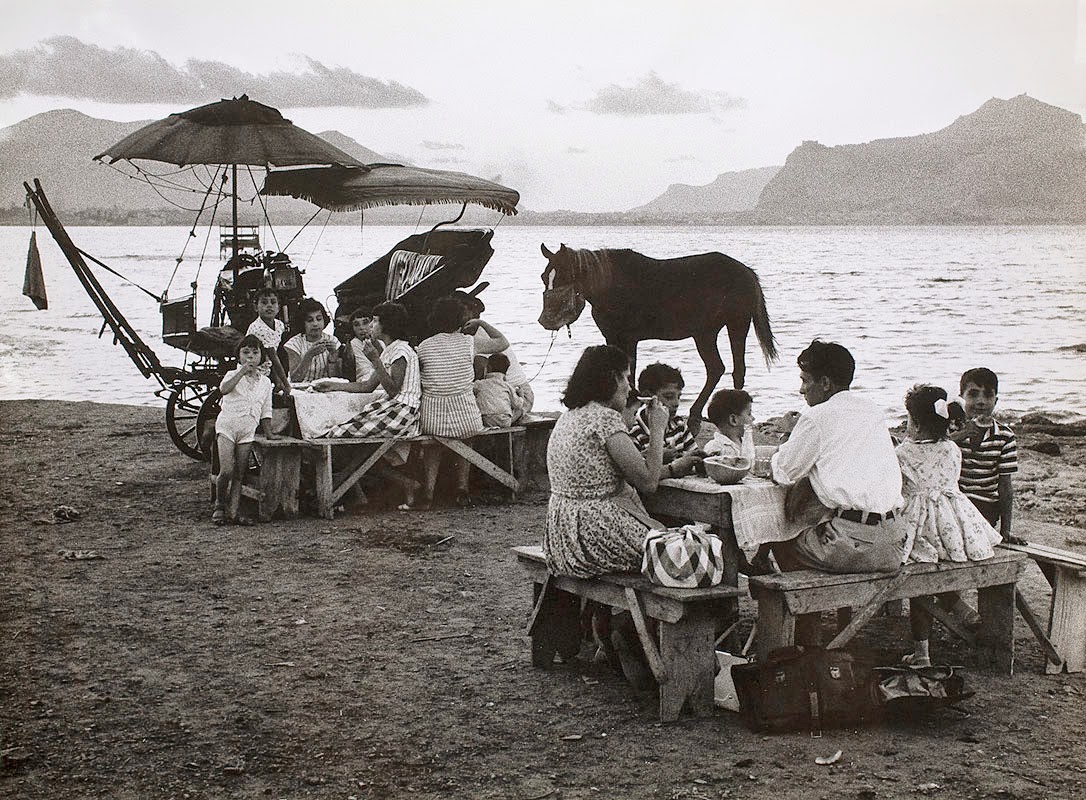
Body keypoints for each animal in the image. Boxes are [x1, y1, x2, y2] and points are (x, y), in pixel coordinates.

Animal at [538, 243, 777, 427]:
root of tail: (747, 272)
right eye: (544, 277)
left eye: (566, 275)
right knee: (717, 368)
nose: (547, 320)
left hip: (734, 325)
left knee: (734, 369)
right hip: (706, 333)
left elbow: (630, 373)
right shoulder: (612, 337)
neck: (611, 286)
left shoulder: (628, 338)